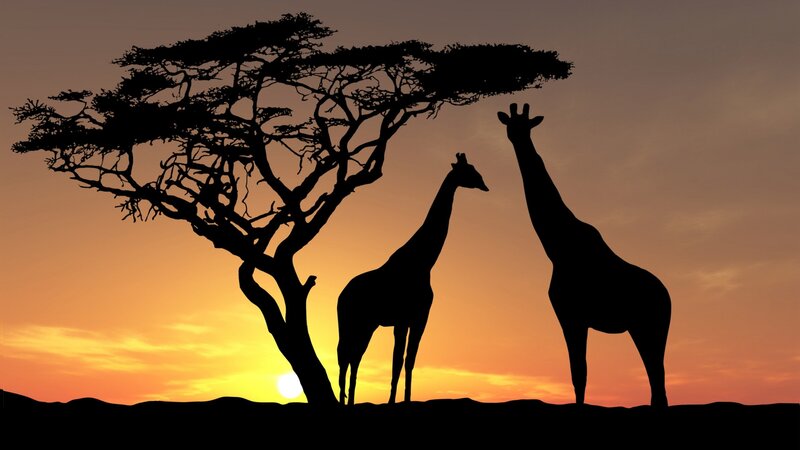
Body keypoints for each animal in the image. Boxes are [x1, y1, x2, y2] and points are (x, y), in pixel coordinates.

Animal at [337, 153, 489, 406]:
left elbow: (409, 360)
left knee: (353, 356)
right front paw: (391, 402)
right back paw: (344, 400)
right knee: (346, 354)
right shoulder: (402, 319)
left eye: (475, 169)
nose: (485, 185)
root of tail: (341, 295)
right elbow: (397, 361)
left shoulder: (419, 317)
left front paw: (406, 400)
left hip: (367, 324)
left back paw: (348, 400)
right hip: (352, 321)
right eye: (469, 171)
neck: (424, 262)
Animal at [498, 103, 671, 407]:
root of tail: (669, 298)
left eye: (526, 126)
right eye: (511, 125)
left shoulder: (571, 315)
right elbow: (579, 374)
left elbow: (579, 373)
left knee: (657, 380)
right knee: (657, 382)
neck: (558, 247)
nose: (517, 138)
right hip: (643, 329)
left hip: (650, 327)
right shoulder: (573, 316)